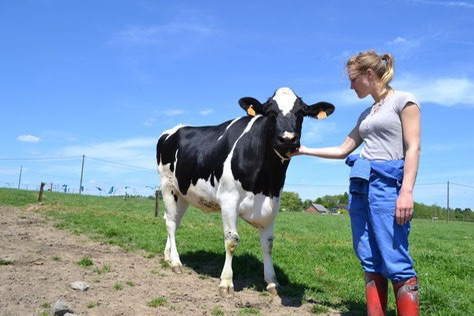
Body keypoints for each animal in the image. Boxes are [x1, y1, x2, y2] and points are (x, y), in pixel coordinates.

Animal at [156, 87, 334, 298]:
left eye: (301, 113)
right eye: (270, 113)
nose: (287, 139)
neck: (265, 181)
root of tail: (172, 130)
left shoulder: (273, 203)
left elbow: (268, 243)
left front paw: (272, 281)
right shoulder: (228, 199)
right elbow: (231, 241)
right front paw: (226, 283)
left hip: (183, 193)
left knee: (171, 220)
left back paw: (167, 256)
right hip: (168, 186)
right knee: (171, 223)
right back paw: (176, 262)